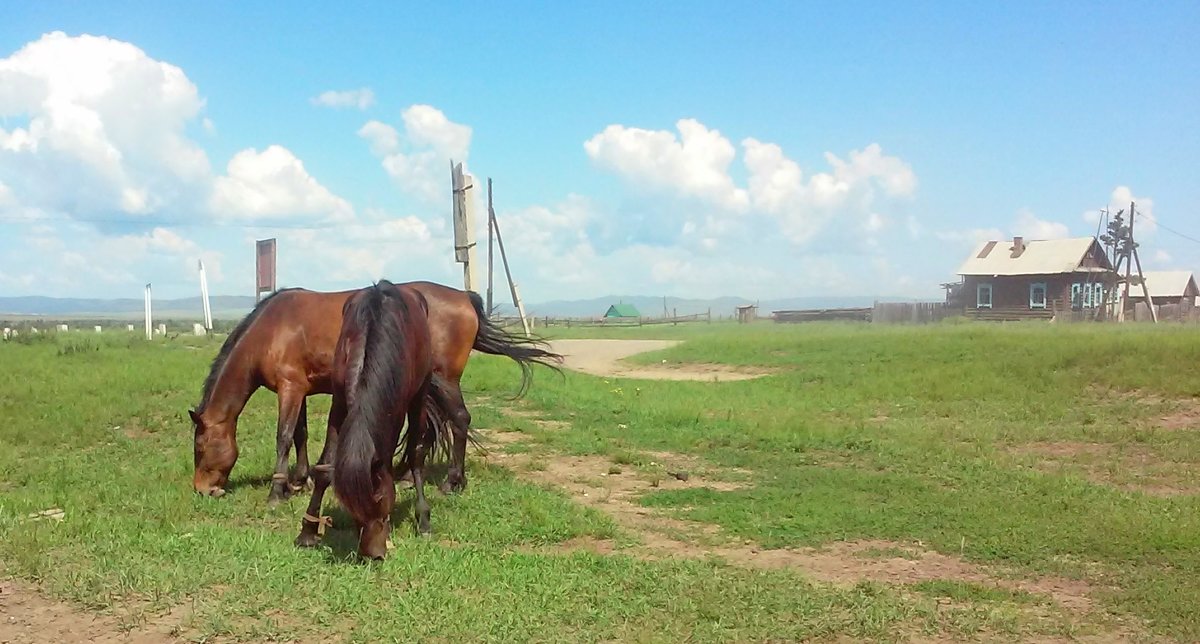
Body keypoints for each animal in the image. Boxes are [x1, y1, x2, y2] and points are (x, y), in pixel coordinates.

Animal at [188, 278, 561, 498]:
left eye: (199, 448)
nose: (202, 490)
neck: (272, 329)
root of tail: (465, 298)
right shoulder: (299, 389)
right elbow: (300, 435)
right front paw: (300, 479)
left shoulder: (289, 389)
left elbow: (284, 435)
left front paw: (278, 492)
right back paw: (405, 475)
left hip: (443, 379)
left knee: (460, 419)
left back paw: (453, 481)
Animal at [292, 279, 434, 556]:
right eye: (354, 507)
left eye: (380, 501)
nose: (374, 555)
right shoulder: (338, 405)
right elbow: (326, 466)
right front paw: (308, 531)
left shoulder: (395, 410)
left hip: (420, 395)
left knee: (416, 451)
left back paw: (423, 519)